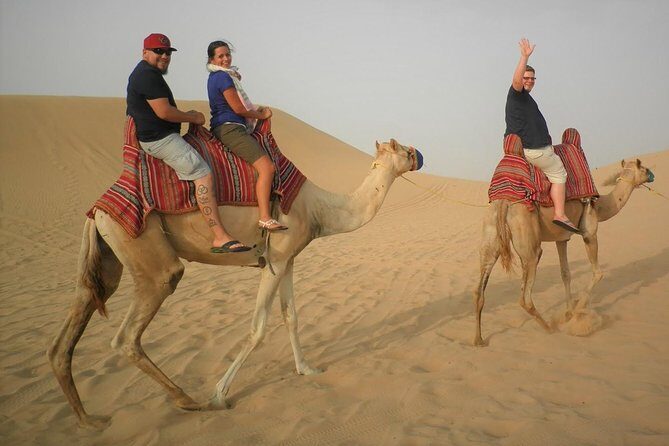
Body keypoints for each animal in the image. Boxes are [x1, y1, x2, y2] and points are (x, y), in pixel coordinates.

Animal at [47, 139, 423, 429]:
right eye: (404, 148)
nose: (419, 154)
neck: (319, 209)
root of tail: (97, 210)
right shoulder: (275, 259)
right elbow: (258, 328)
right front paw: (219, 395)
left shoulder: (288, 260)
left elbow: (291, 317)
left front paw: (307, 369)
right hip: (149, 257)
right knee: (129, 333)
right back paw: (188, 400)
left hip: (108, 258)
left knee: (73, 323)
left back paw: (88, 420)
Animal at [474, 158, 654, 346]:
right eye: (644, 168)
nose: (651, 175)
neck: (600, 206)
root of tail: (504, 203)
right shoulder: (589, 233)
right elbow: (598, 273)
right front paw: (578, 310)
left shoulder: (561, 239)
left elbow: (565, 273)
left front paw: (569, 312)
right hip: (529, 244)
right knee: (525, 297)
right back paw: (549, 328)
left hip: (490, 235)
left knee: (480, 289)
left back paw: (479, 339)